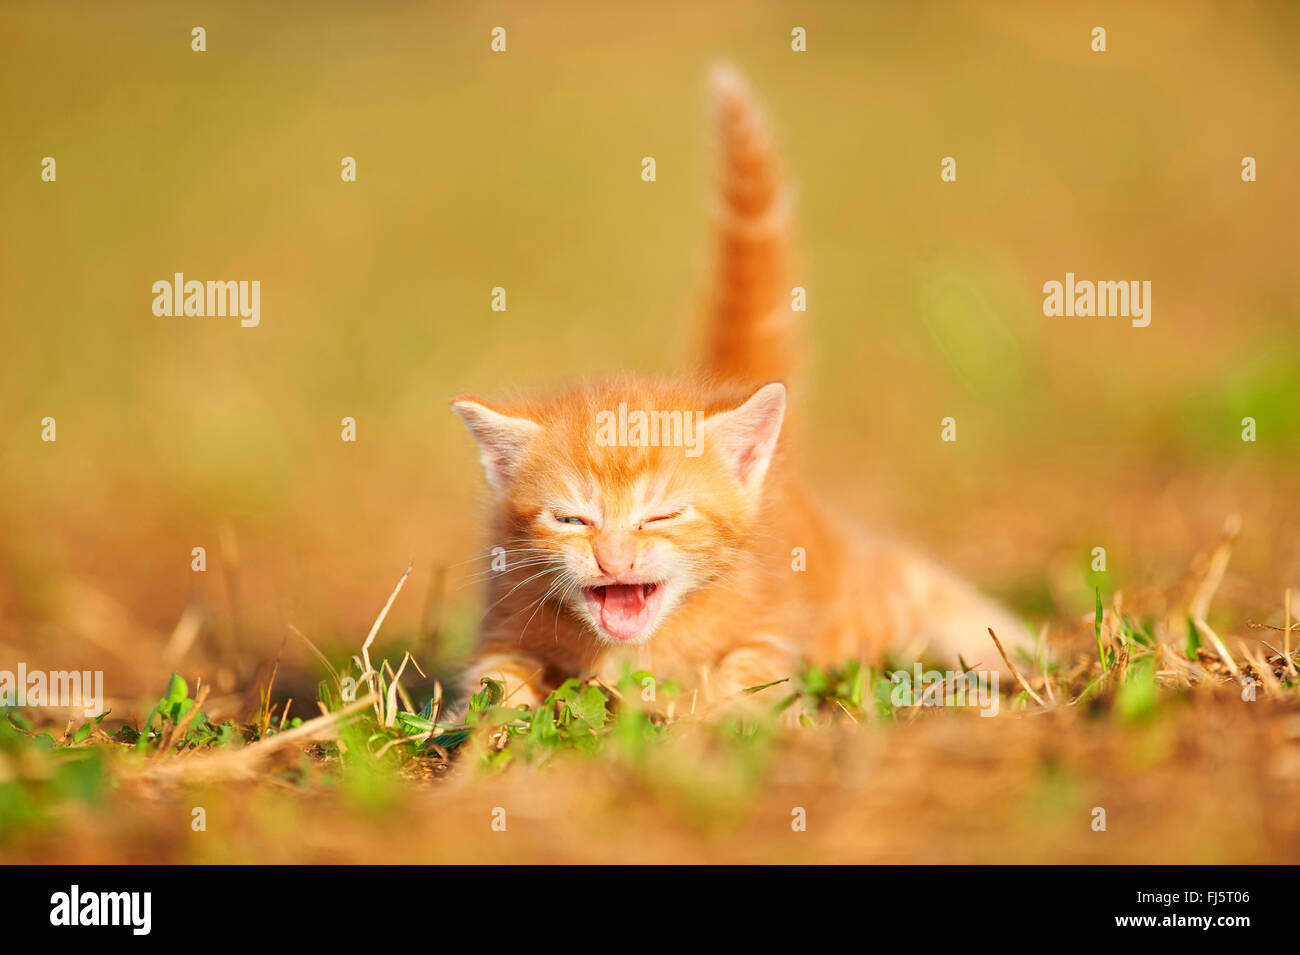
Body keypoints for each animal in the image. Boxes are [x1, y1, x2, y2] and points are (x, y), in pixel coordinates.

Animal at [452, 65, 1029, 712]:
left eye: (662, 515)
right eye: (572, 520)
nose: (613, 559)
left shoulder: (771, 624)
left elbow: (751, 673)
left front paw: (717, 716)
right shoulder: (503, 616)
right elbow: (494, 682)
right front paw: (499, 723)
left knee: (908, 579)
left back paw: (1010, 649)